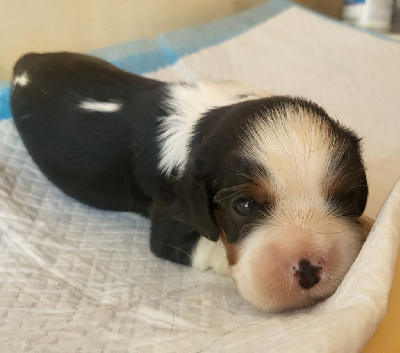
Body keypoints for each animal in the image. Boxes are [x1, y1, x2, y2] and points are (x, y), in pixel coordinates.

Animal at [10, 52, 368, 310]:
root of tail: (25, 64)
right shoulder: (171, 221)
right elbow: (214, 250)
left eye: (346, 197)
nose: (309, 268)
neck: (205, 123)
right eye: (244, 206)